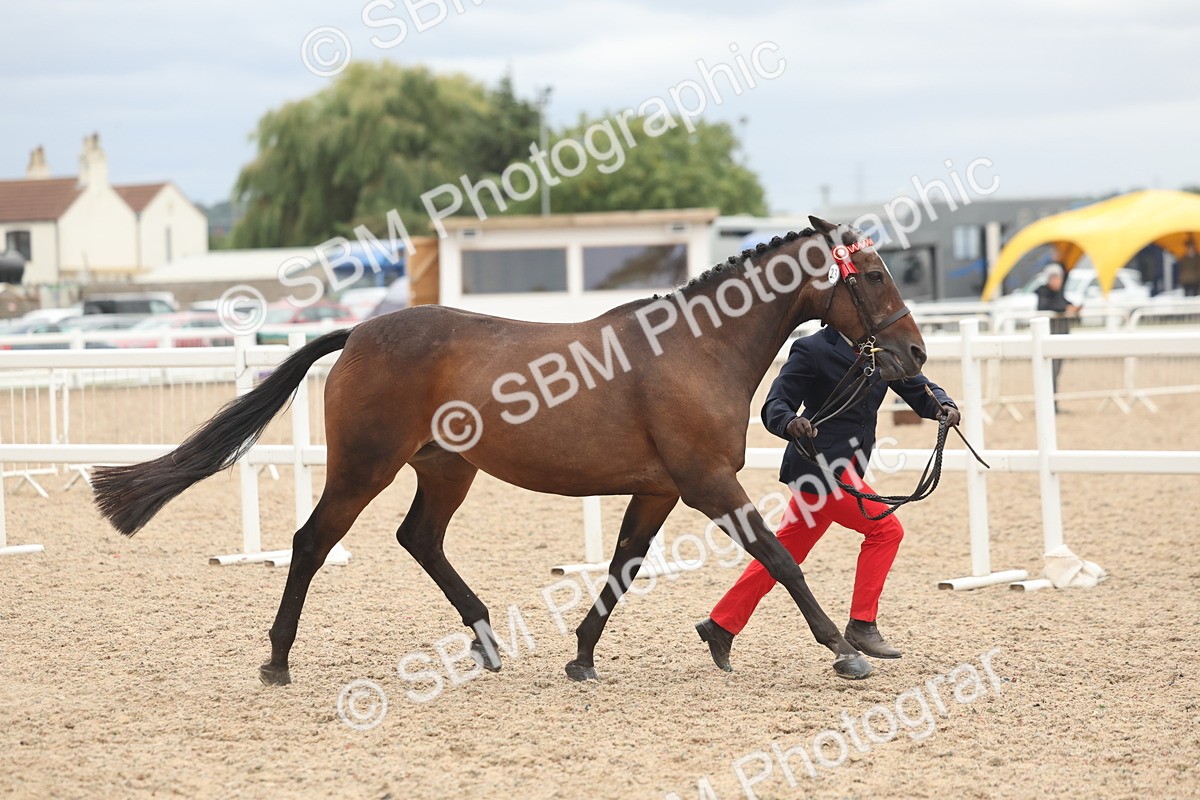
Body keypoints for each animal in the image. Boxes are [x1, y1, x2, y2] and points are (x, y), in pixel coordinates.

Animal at [92, 216, 927, 686]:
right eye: (872, 273)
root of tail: (359, 331)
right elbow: (779, 557)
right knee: (311, 542)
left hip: (445, 469)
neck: (696, 349)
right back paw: (277, 660)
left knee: (419, 539)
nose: (914, 354)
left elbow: (622, 568)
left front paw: (583, 656)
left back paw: (488, 640)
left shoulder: (658, 489)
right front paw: (842, 650)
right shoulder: (704, 481)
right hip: (365, 466)